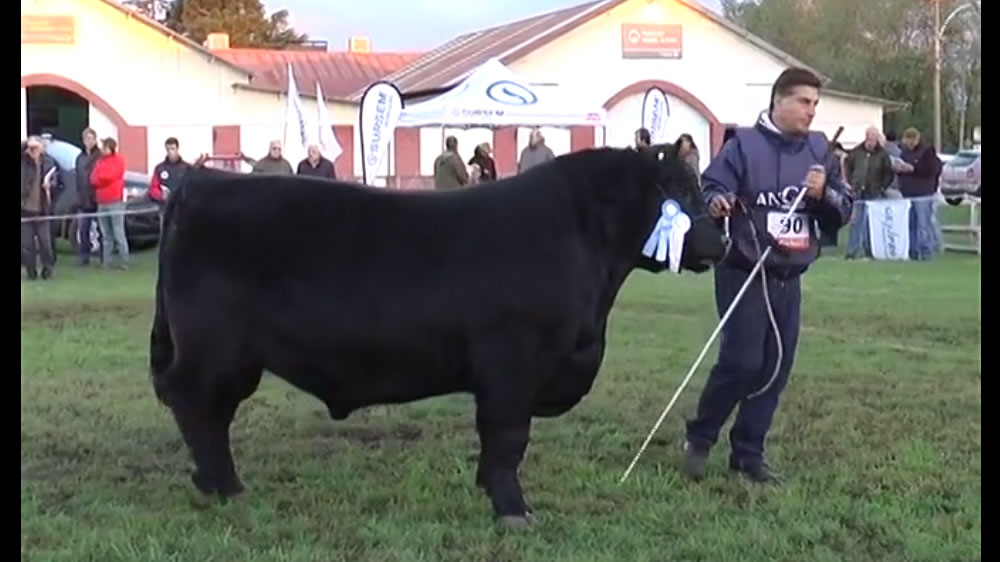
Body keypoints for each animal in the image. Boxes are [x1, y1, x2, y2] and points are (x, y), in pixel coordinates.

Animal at [150, 142, 728, 524]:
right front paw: (512, 510)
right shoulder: (512, 359)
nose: (720, 242)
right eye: (680, 192)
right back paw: (224, 486)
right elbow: (507, 436)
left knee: (211, 412)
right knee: (196, 404)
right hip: (213, 350)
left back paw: (216, 483)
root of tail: (202, 183)